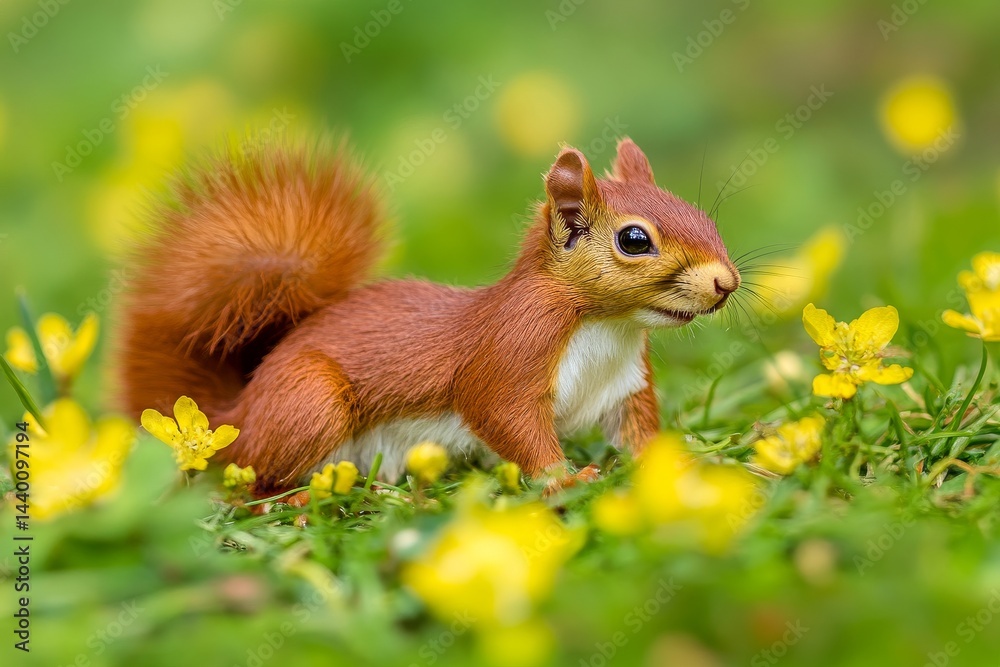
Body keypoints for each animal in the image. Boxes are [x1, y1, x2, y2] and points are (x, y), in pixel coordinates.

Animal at [117, 136, 740, 492]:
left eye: (700, 215)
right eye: (635, 239)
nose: (727, 283)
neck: (608, 325)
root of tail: (237, 413)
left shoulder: (625, 384)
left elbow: (638, 431)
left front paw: (677, 463)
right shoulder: (511, 353)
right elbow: (505, 418)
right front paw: (567, 478)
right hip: (308, 403)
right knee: (252, 478)